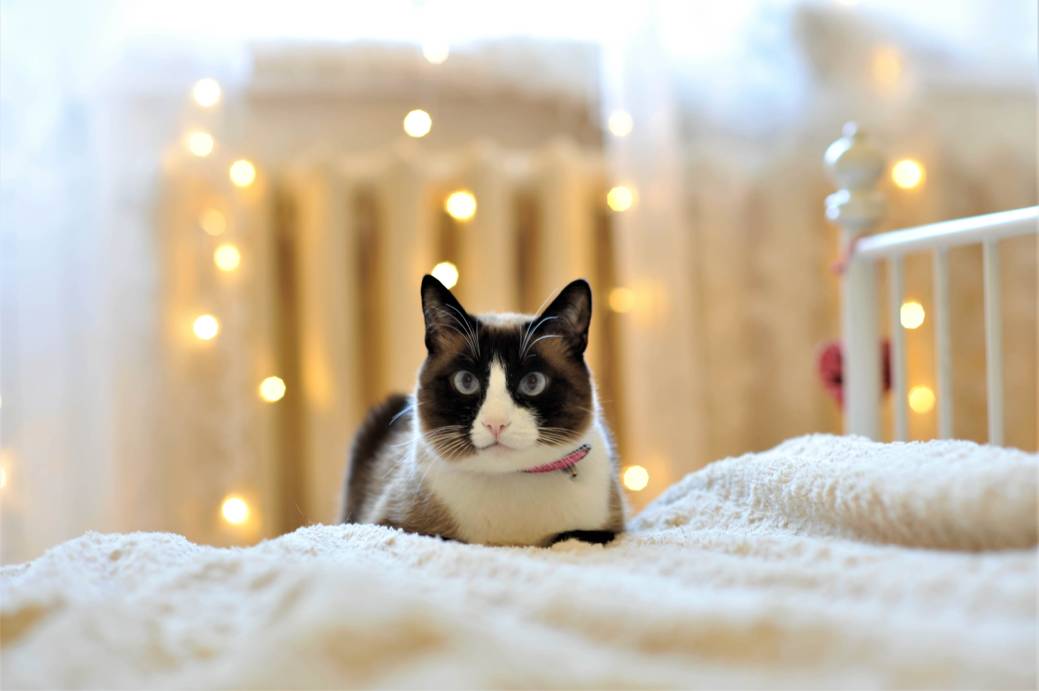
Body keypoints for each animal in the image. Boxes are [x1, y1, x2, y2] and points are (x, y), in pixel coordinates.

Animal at [342, 274, 623, 544]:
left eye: (532, 382)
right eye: (466, 381)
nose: (495, 424)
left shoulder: (608, 530)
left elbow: (570, 536)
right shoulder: (390, 524)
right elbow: (447, 538)